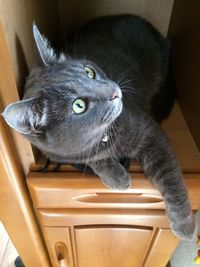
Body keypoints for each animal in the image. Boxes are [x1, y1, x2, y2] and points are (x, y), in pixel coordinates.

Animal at [2, 15, 195, 241]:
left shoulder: (151, 134)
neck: (99, 139)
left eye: (89, 72)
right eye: (78, 105)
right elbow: (93, 160)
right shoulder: (67, 155)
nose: (114, 91)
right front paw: (116, 176)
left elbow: (170, 179)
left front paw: (185, 223)